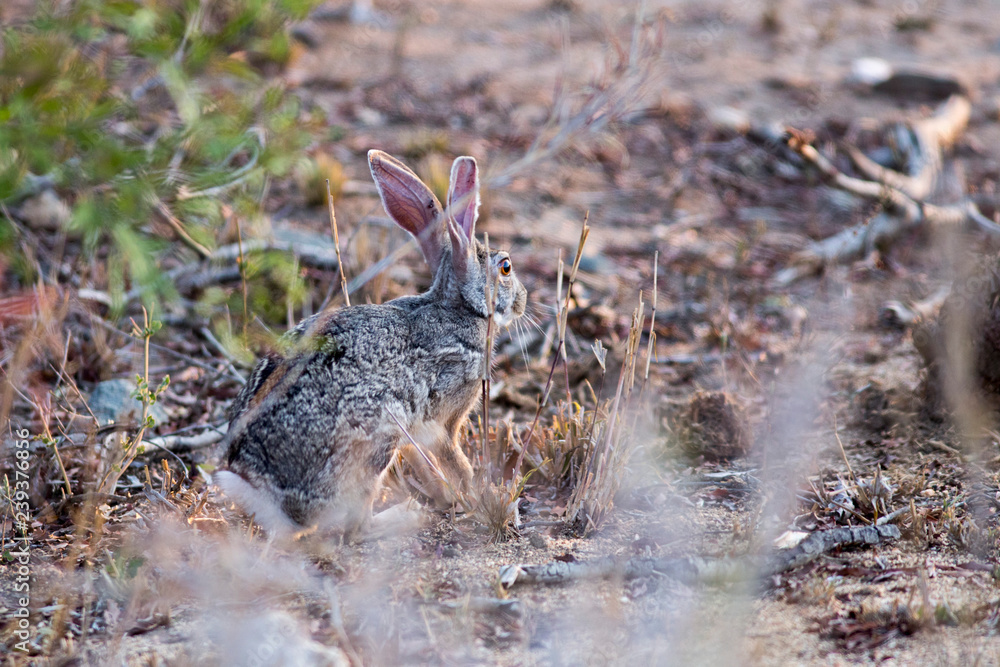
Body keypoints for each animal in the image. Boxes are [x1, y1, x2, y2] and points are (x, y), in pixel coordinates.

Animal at [214, 149, 528, 541]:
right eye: (506, 267)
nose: (523, 301)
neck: (460, 307)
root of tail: (265, 495)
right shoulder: (443, 417)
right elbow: (456, 460)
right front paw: (472, 497)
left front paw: (447, 495)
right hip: (379, 434)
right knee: (356, 527)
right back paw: (405, 515)